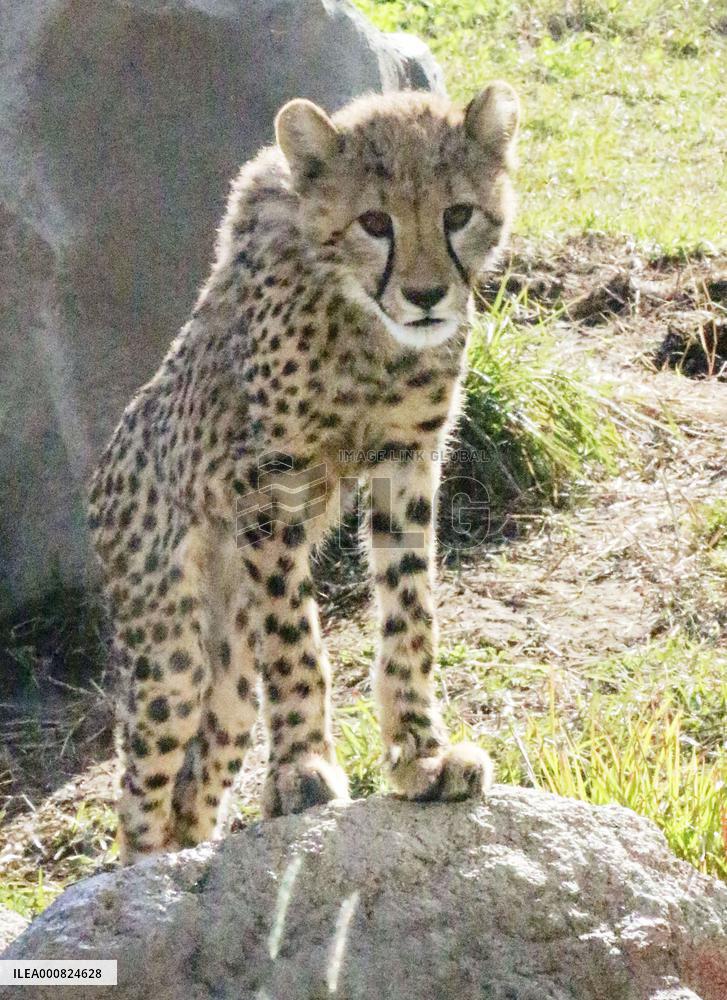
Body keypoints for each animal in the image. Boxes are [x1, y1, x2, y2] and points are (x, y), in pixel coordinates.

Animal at [87, 81, 520, 863]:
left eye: (458, 214)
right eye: (374, 221)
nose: (425, 296)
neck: (365, 325)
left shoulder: (406, 461)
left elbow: (409, 613)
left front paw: (422, 756)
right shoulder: (269, 477)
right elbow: (294, 636)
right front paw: (302, 769)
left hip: (228, 679)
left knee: (199, 783)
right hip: (171, 654)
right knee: (139, 792)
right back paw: (146, 874)